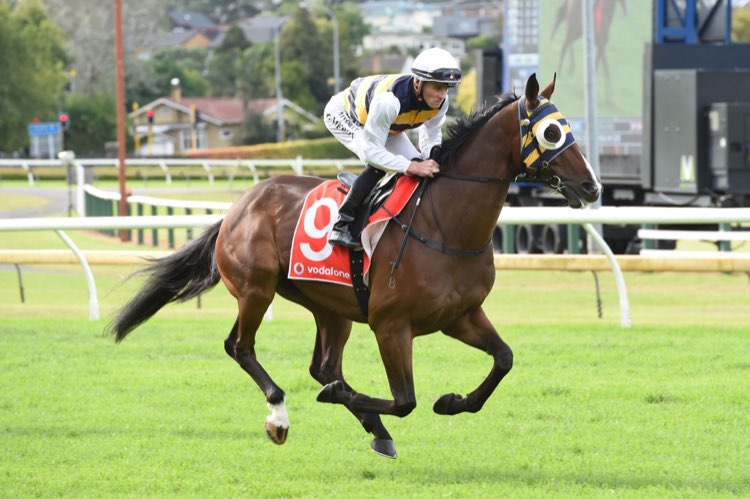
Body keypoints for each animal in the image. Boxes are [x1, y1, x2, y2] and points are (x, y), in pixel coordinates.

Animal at [107, 74, 601, 459]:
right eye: (551, 133)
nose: (592, 187)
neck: (445, 224)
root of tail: (238, 207)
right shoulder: (391, 325)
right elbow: (404, 401)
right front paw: (356, 402)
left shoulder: (460, 315)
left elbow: (503, 359)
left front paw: (451, 401)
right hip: (256, 290)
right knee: (241, 347)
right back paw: (280, 415)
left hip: (331, 306)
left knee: (323, 366)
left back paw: (373, 429)